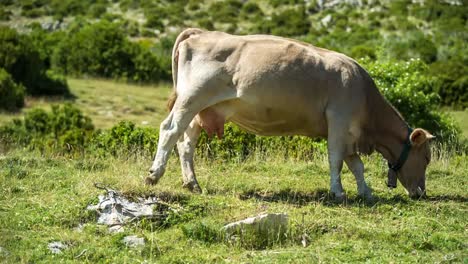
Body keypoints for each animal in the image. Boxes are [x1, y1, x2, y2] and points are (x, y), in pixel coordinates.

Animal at [147, 28, 436, 198]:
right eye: (427, 157)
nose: (421, 192)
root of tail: (200, 32)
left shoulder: (350, 132)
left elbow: (356, 164)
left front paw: (365, 192)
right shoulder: (339, 120)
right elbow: (336, 159)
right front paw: (338, 192)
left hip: (202, 110)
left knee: (186, 142)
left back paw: (192, 183)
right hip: (192, 98)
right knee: (170, 130)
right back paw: (154, 174)